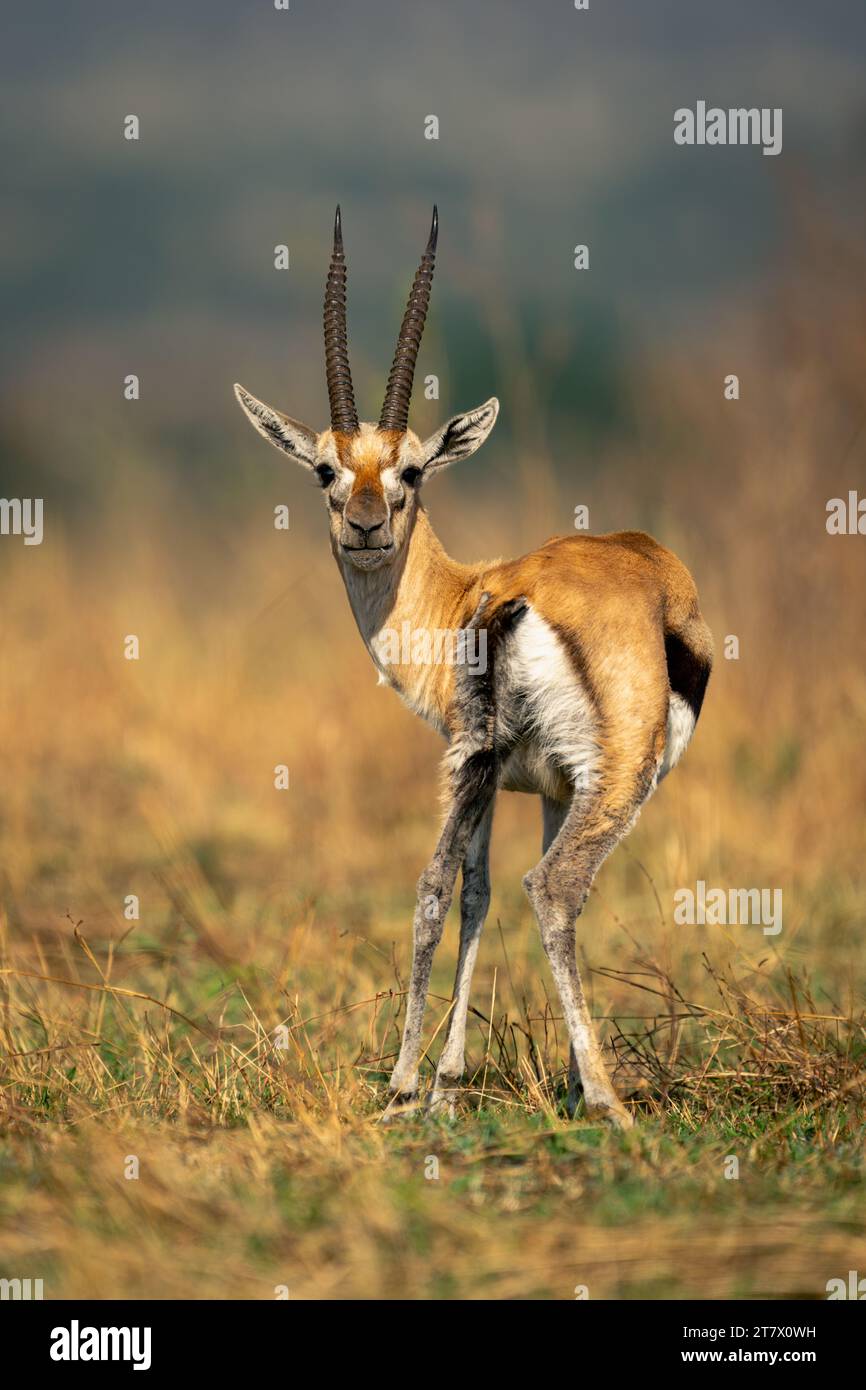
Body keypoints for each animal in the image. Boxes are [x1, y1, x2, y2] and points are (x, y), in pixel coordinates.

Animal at [234, 207, 713, 1130]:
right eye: (326, 467)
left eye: (411, 469)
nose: (366, 526)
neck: (462, 593)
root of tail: (512, 597)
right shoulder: (538, 779)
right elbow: (493, 889)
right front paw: (532, 1081)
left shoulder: (518, 776)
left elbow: (469, 891)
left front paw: (454, 1080)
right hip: (612, 778)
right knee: (551, 887)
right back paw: (603, 1102)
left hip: (487, 765)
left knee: (442, 886)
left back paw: (410, 1085)